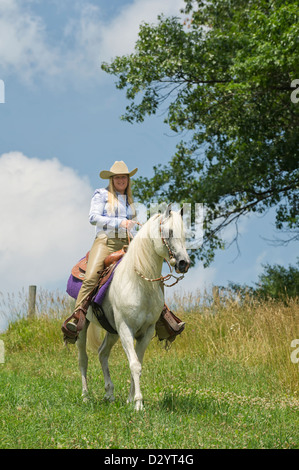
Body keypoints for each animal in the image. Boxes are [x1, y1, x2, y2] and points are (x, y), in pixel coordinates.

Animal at [76, 207, 191, 410]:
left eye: (184, 234)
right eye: (169, 232)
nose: (184, 263)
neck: (139, 283)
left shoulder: (146, 331)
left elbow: (137, 363)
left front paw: (130, 400)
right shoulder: (126, 328)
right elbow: (135, 365)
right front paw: (138, 403)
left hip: (112, 331)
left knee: (102, 353)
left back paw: (109, 394)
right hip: (85, 326)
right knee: (83, 359)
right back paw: (85, 396)